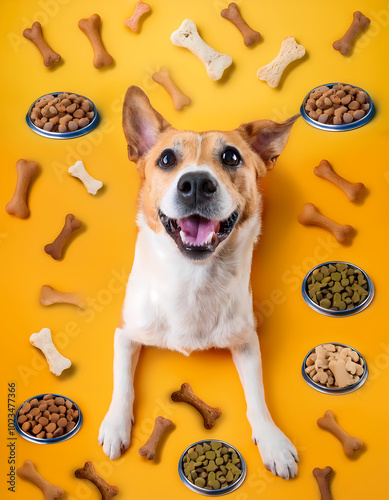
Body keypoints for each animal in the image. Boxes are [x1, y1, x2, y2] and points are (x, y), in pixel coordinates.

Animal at [98, 87, 298, 480]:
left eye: (231, 156)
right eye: (166, 159)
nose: (195, 185)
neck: (193, 278)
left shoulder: (247, 342)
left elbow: (257, 397)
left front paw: (273, 441)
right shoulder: (126, 333)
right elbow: (121, 382)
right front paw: (115, 425)